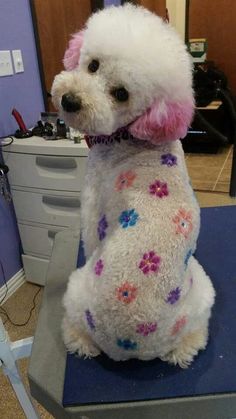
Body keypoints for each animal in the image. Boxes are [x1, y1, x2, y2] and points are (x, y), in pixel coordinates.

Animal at [52, 4, 216, 370]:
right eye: (93, 65)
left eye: (121, 94)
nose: (70, 101)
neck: (129, 136)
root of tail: (133, 347)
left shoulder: (91, 206)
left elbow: (90, 236)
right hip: (200, 299)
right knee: (192, 339)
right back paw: (186, 346)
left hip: (78, 289)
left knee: (76, 328)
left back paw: (78, 339)